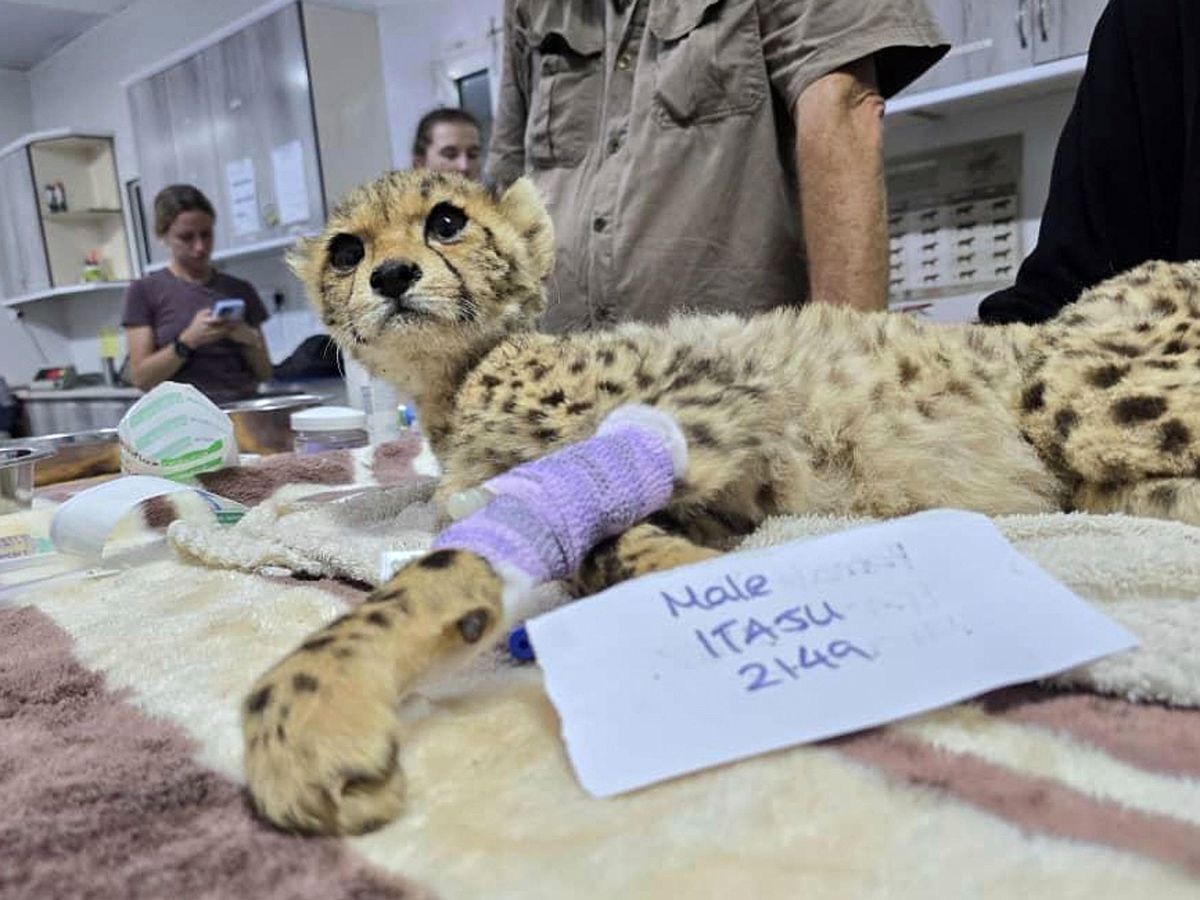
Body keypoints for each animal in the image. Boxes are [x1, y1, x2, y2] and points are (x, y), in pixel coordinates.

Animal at [242, 168, 1200, 836]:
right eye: (346, 250)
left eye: (446, 220)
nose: (394, 276)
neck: (458, 379)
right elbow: (593, 544)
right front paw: (676, 575)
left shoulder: (716, 401)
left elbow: (465, 555)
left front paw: (305, 709)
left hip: (1074, 385)